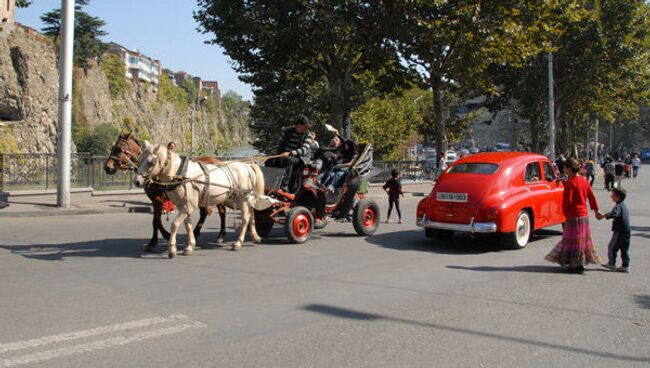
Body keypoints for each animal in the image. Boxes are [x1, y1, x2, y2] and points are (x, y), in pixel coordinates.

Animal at [133, 142, 268, 258]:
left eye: (151, 162)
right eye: (140, 159)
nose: (137, 181)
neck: (181, 175)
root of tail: (247, 166)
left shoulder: (186, 206)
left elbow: (174, 224)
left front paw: (172, 249)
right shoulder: (183, 207)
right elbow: (187, 226)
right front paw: (190, 246)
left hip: (242, 198)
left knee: (245, 218)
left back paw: (238, 242)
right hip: (245, 198)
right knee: (251, 213)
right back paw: (255, 236)